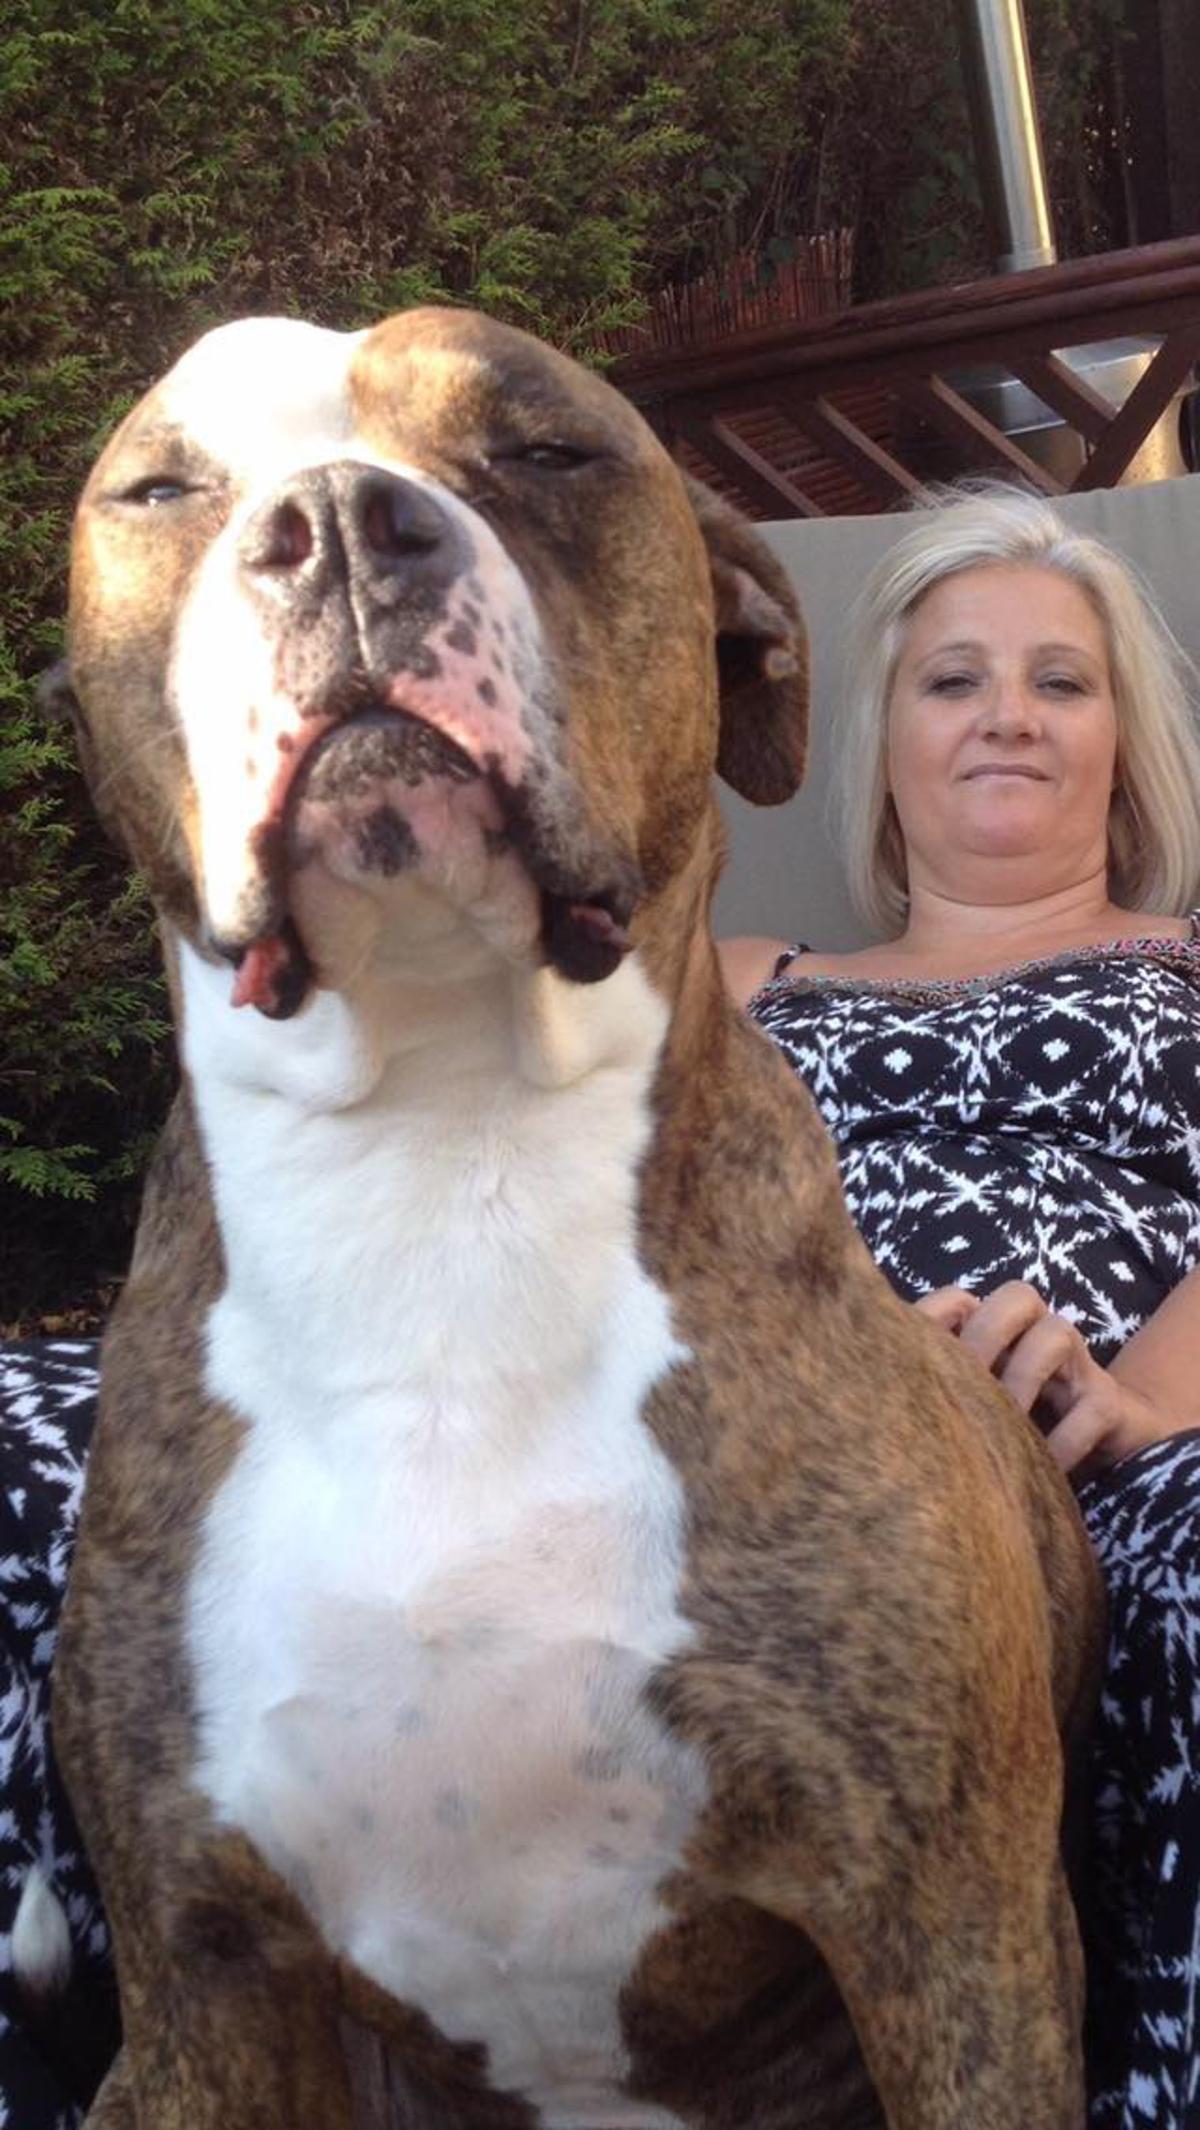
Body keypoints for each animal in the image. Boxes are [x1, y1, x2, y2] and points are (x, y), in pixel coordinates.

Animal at [49, 304, 1108, 2130]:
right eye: (162, 488)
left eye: (548, 448)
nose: (336, 523)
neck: (438, 1165)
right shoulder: (201, 1974)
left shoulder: (953, 1920)